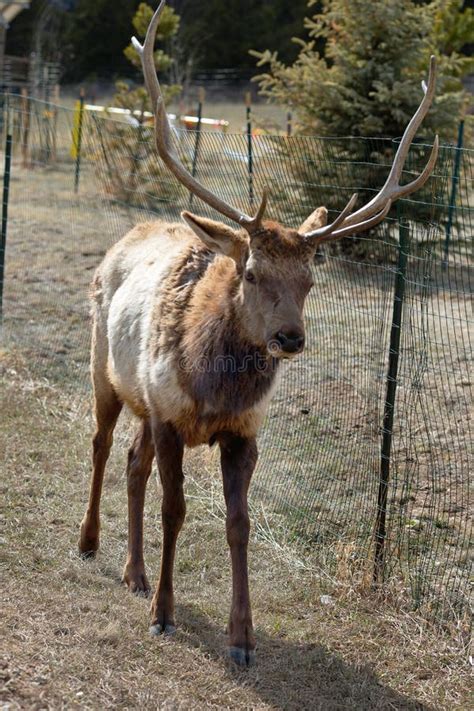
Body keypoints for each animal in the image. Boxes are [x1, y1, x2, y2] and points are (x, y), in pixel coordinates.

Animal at [78, 0, 436, 668]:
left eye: (311, 279)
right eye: (250, 272)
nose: (291, 339)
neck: (213, 390)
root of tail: (129, 233)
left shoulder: (243, 430)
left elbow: (237, 524)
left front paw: (241, 638)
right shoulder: (170, 416)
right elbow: (175, 509)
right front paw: (164, 614)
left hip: (142, 400)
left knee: (134, 464)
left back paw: (133, 571)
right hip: (106, 373)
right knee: (102, 445)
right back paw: (90, 543)